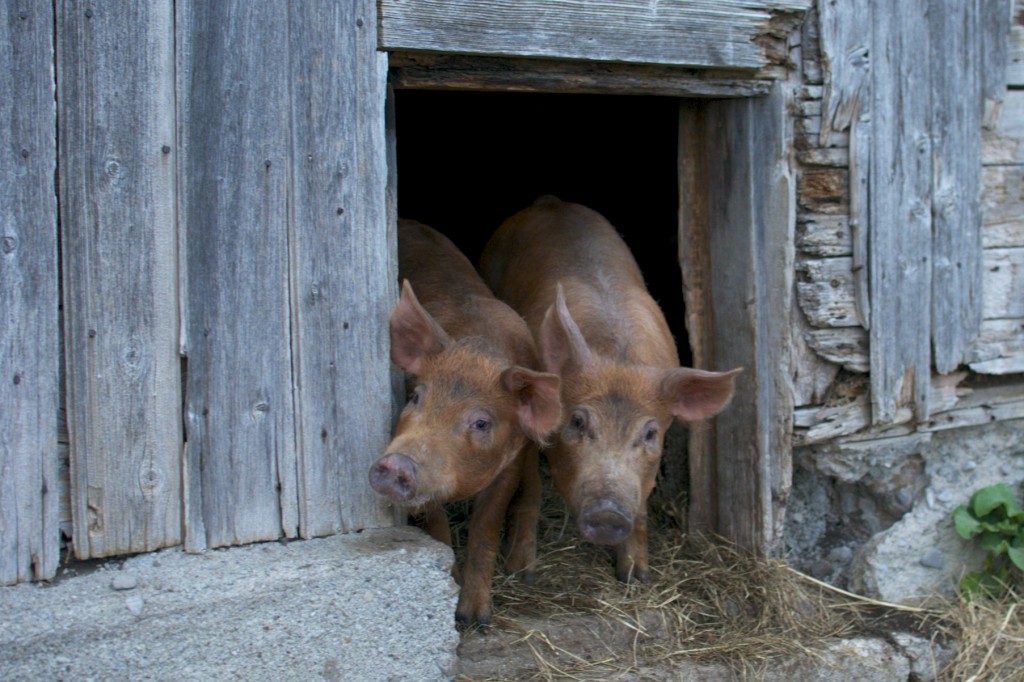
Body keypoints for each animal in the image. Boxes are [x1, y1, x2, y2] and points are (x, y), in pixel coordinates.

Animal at [368, 220, 561, 622]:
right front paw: (450, 588)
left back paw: (523, 570)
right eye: (415, 396)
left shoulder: (509, 463)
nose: (397, 464)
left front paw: (476, 618)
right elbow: (436, 524)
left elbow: (485, 526)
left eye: (482, 423)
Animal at [483, 199, 741, 581]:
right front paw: (522, 572)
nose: (607, 513)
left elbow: (643, 505)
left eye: (650, 433)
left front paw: (636, 577)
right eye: (577, 421)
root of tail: (549, 201)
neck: (618, 357)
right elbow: (530, 488)